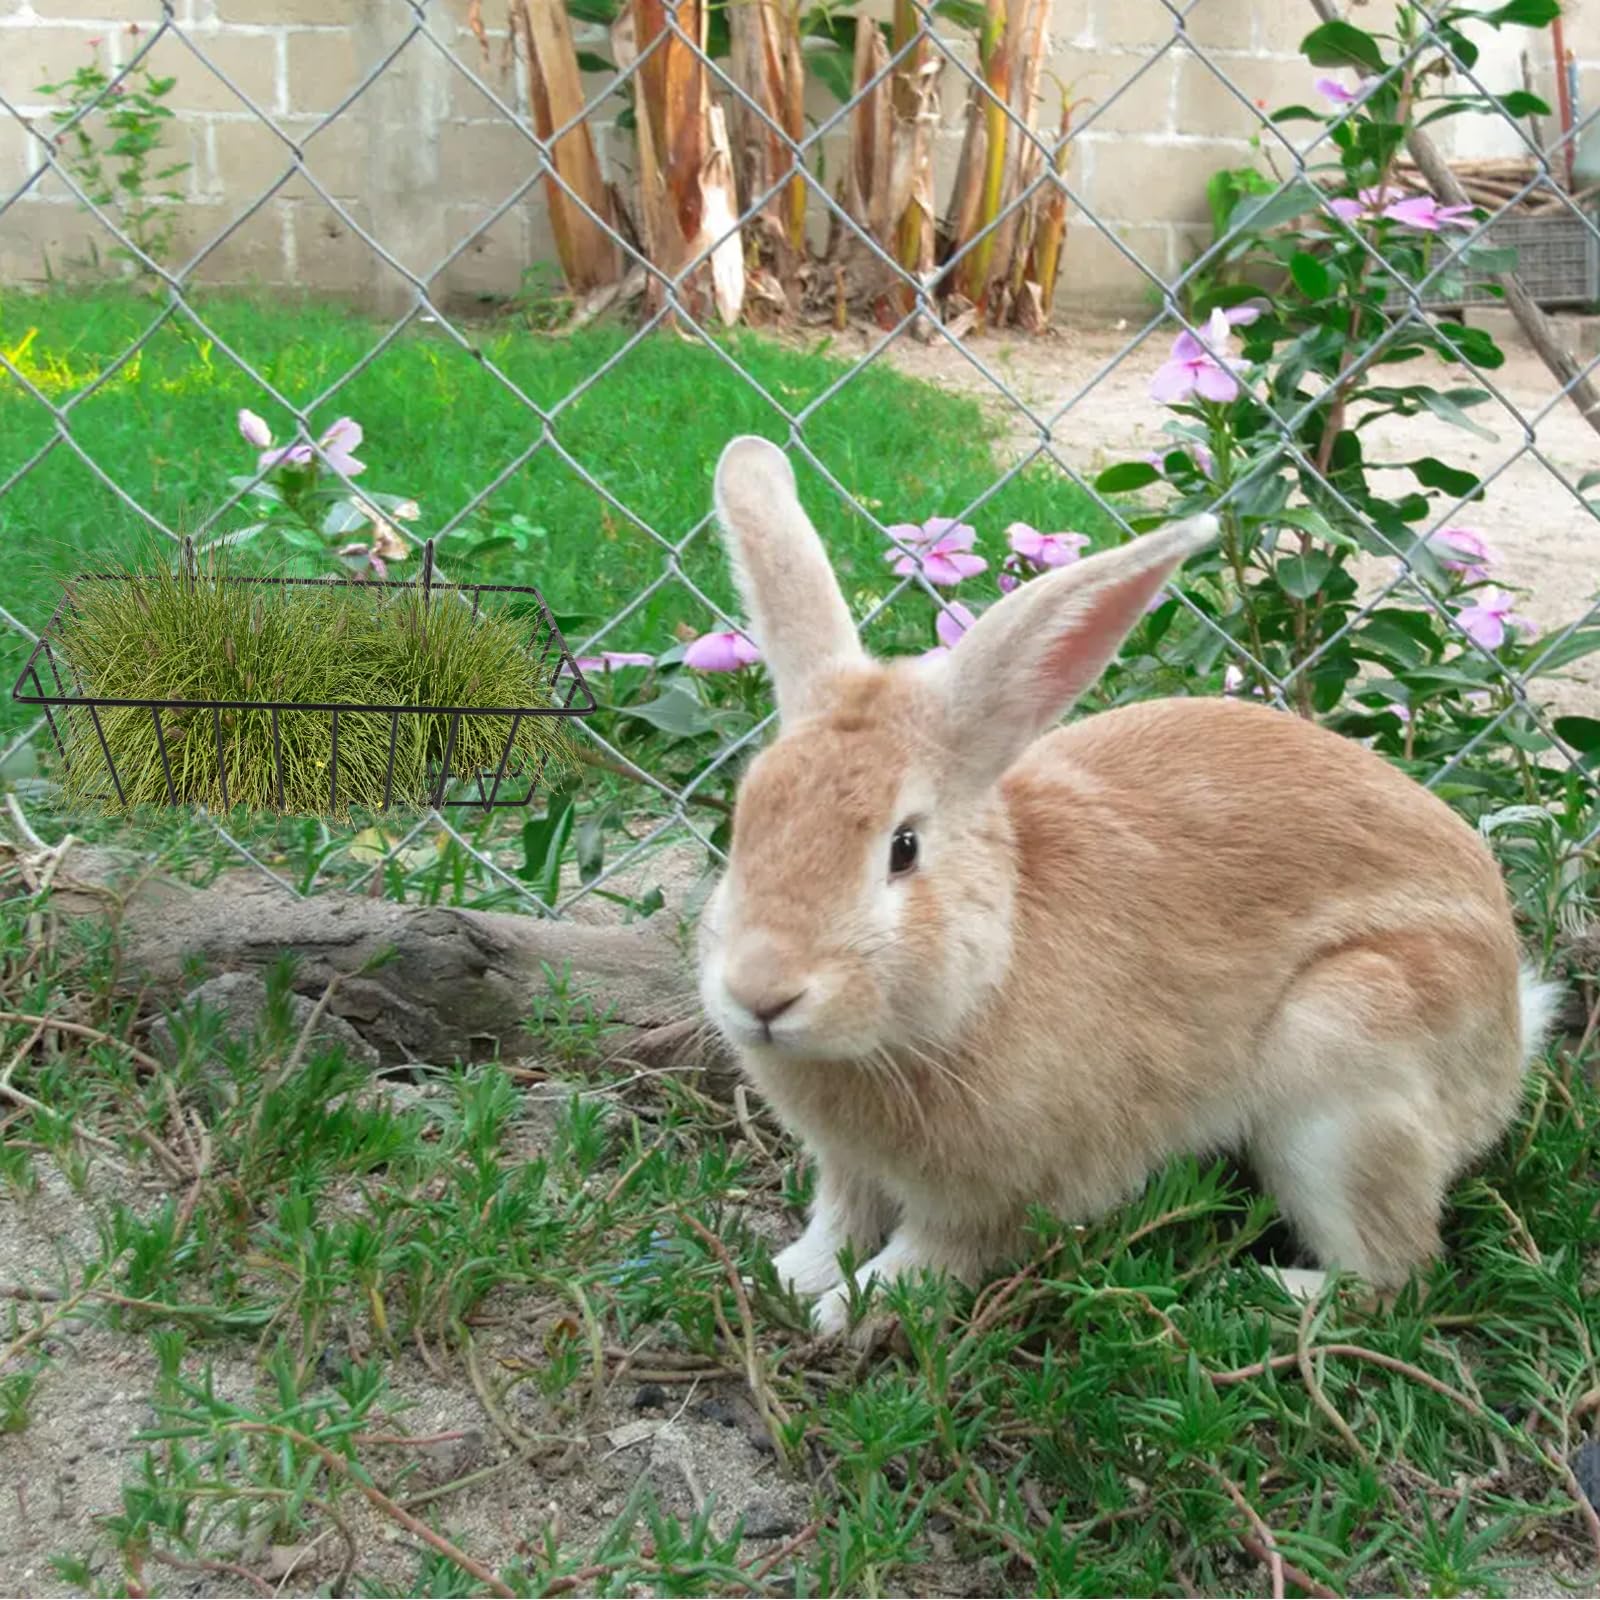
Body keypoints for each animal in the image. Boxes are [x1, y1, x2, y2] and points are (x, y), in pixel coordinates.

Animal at [697, 435, 1560, 1338]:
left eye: (903, 848)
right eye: (745, 820)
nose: (761, 994)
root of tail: (1510, 1032)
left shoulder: (994, 1197)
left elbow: (933, 1254)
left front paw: (849, 1307)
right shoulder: (848, 1171)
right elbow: (838, 1219)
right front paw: (786, 1276)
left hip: (1348, 1063)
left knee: (1397, 1277)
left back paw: (1255, 1291)